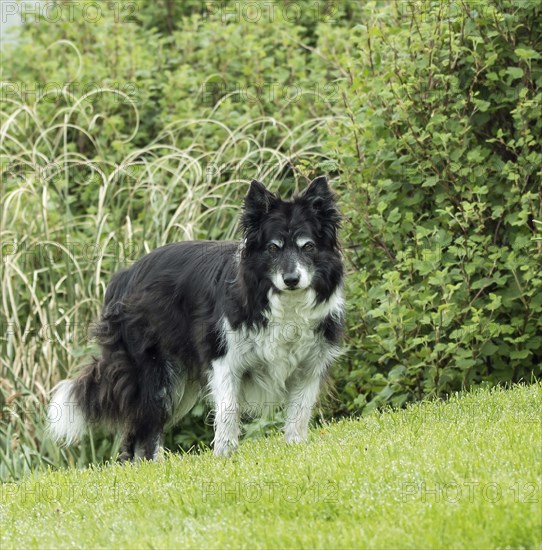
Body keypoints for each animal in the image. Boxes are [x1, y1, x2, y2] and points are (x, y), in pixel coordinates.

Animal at [46, 178, 344, 462]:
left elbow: (299, 413)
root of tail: (125, 275)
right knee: (143, 431)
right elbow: (228, 411)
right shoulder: (224, 359)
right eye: (273, 248)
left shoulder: (310, 366)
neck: (283, 302)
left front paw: (296, 447)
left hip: (179, 385)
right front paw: (224, 456)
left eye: (308, 247)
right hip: (155, 375)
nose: (291, 280)